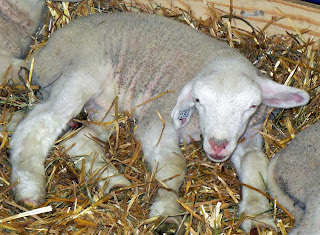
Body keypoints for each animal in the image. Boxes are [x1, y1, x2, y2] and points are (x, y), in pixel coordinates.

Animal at [10, 11, 310, 232]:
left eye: (252, 106)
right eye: (199, 100)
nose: (218, 146)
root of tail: (38, 54)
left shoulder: (248, 136)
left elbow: (256, 165)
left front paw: (259, 217)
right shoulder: (159, 119)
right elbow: (174, 164)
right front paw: (167, 212)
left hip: (107, 105)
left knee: (78, 140)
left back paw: (114, 182)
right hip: (82, 73)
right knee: (37, 125)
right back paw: (30, 188)